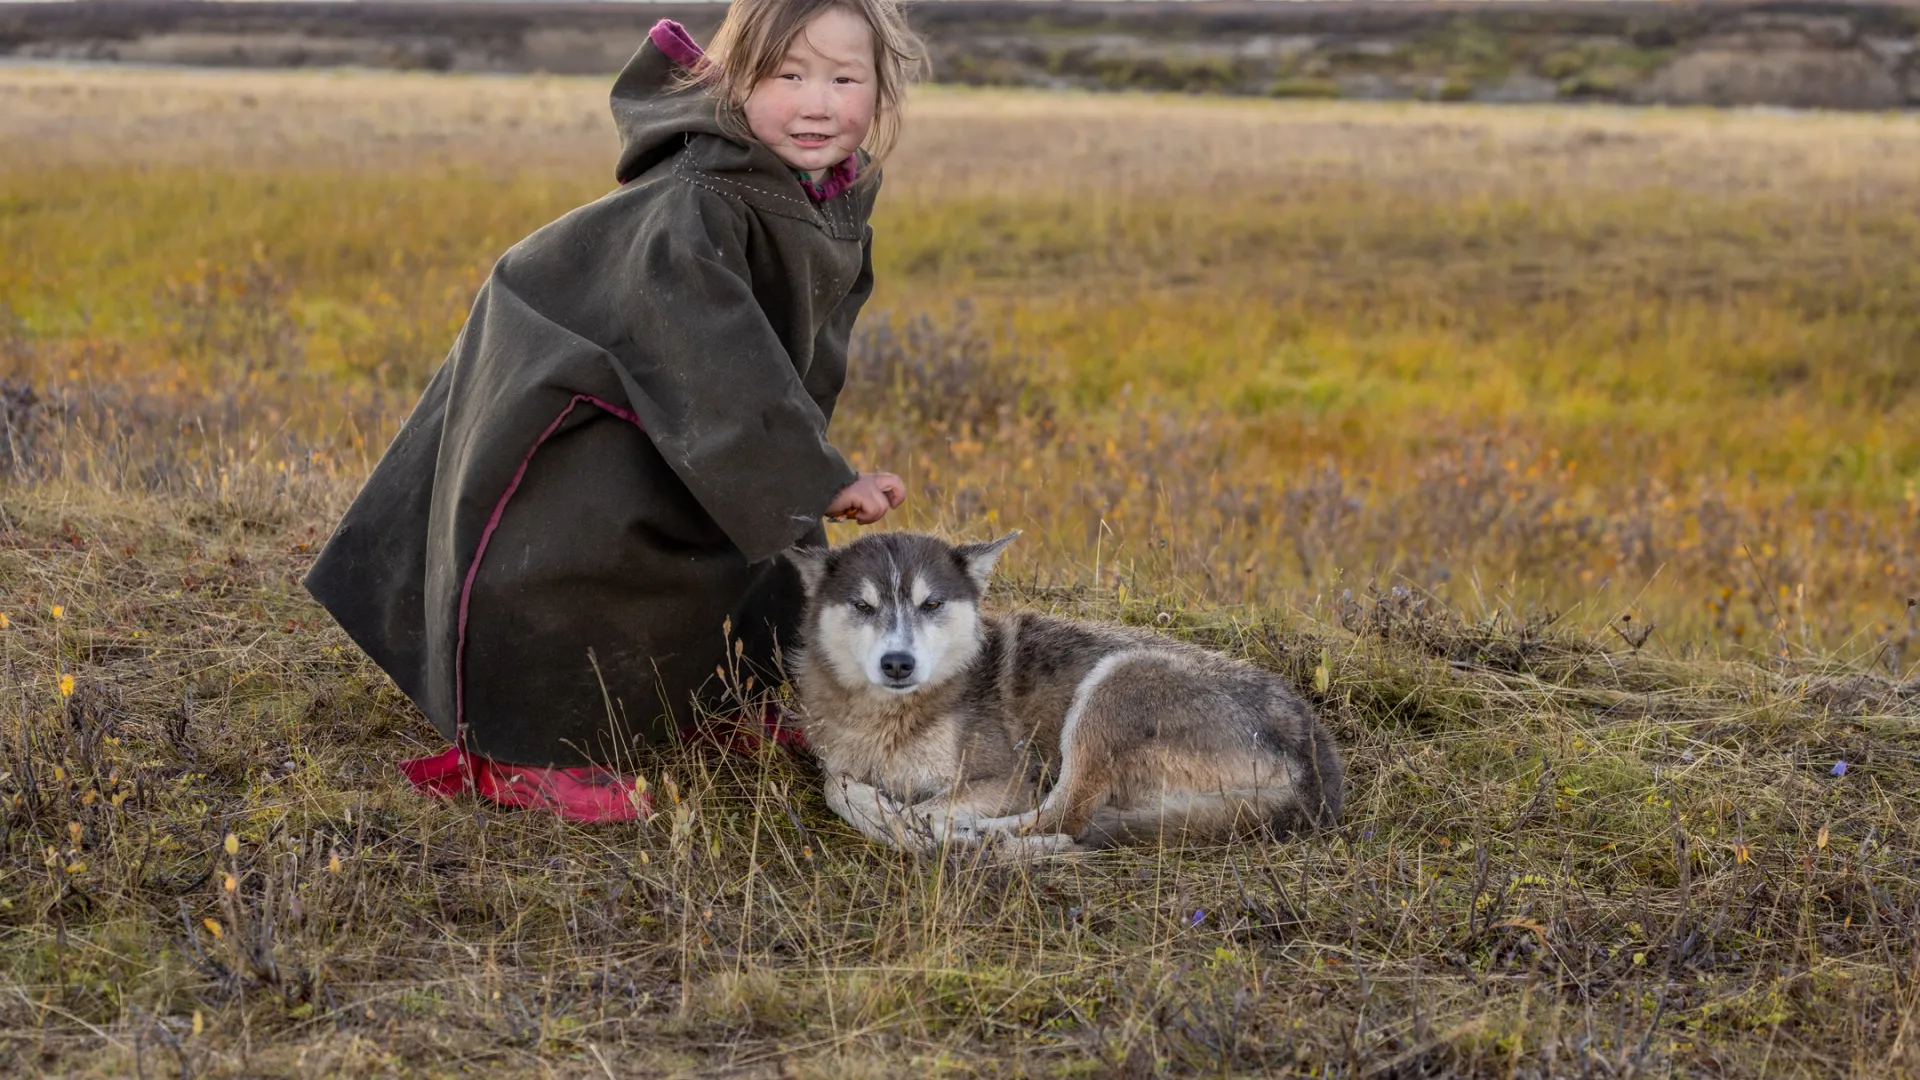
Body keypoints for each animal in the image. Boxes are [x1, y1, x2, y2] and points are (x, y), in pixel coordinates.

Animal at [787, 526, 1344, 849]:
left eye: (931, 604)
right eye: (863, 605)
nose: (898, 664)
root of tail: (1317, 773)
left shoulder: (1009, 781)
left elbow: (906, 808)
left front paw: (906, 828)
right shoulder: (843, 764)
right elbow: (837, 785)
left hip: (1114, 685)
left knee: (1064, 819)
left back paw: (975, 839)